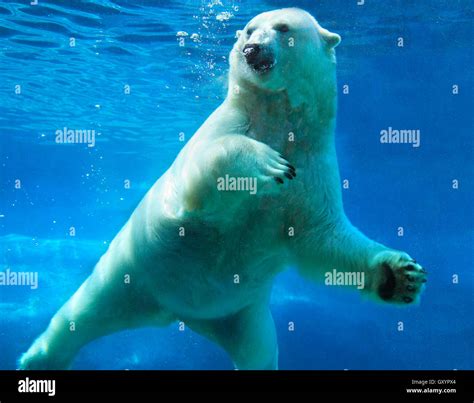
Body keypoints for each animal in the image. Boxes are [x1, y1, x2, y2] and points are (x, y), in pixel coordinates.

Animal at [18, 7, 428, 370]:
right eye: (247, 30)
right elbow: (201, 175)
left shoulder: (315, 164)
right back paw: (39, 358)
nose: (252, 50)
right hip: (127, 272)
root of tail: (176, 313)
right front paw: (269, 164)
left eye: (282, 27)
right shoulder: (223, 128)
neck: (276, 116)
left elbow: (322, 238)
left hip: (241, 313)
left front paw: (401, 276)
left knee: (259, 353)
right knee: (81, 313)